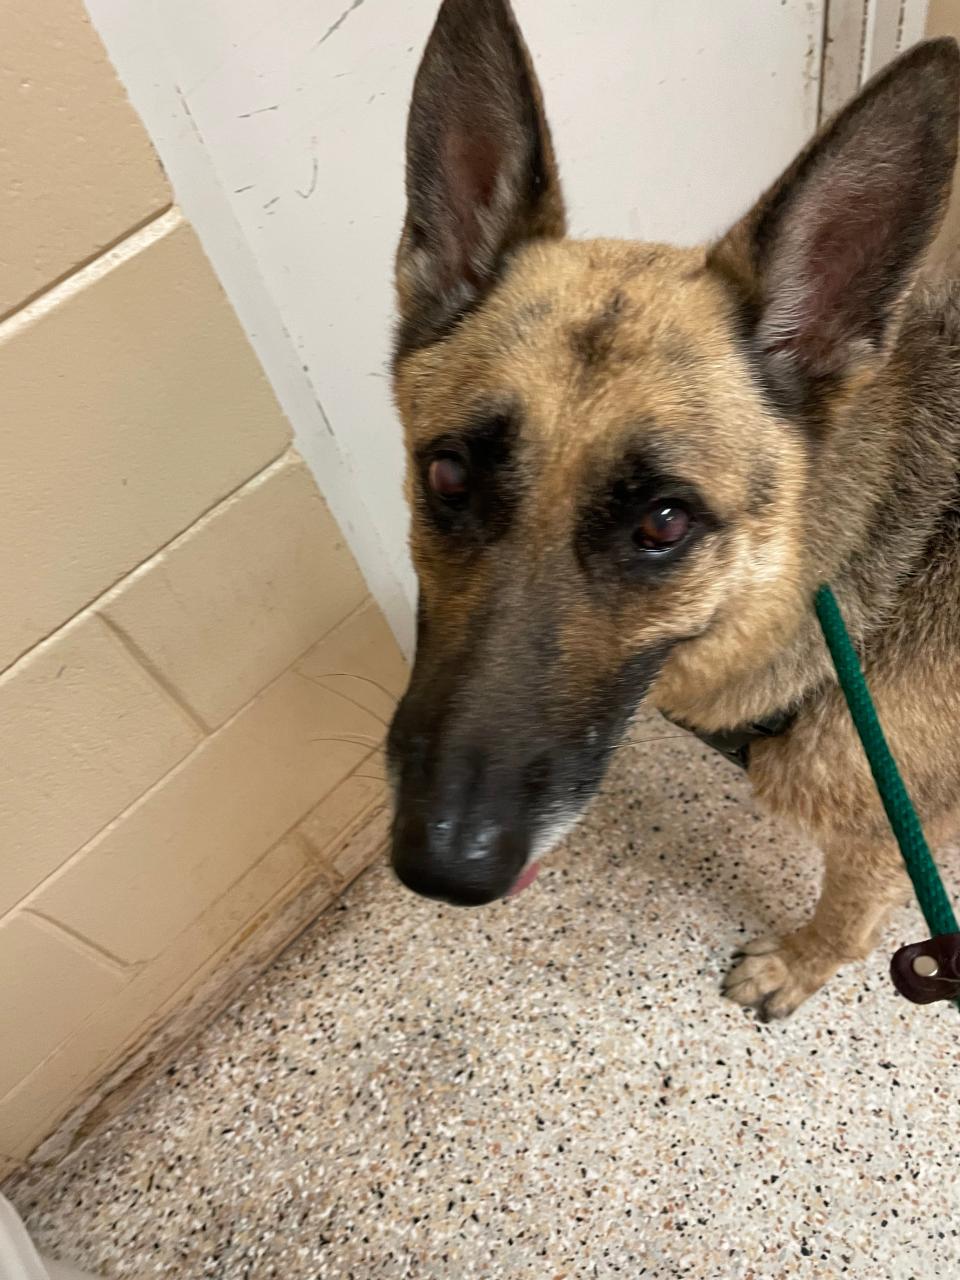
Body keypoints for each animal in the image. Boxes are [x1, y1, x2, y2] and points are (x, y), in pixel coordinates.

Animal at [386, 0, 960, 1018]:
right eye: (449, 475)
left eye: (663, 522)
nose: (445, 865)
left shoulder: (891, 834)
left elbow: (849, 916)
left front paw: (798, 964)